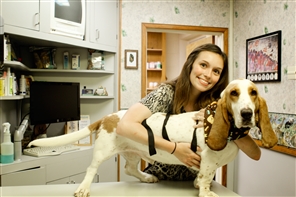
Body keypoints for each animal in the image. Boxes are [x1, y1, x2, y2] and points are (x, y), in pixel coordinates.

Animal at [27, 79, 278, 197]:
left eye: (253, 93)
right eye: (234, 93)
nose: (246, 114)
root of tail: (108, 117)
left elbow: (202, 177)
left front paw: (198, 184)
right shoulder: (207, 160)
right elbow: (206, 178)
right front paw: (206, 191)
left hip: (132, 152)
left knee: (129, 169)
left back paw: (147, 178)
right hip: (103, 151)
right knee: (91, 170)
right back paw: (83, 189)